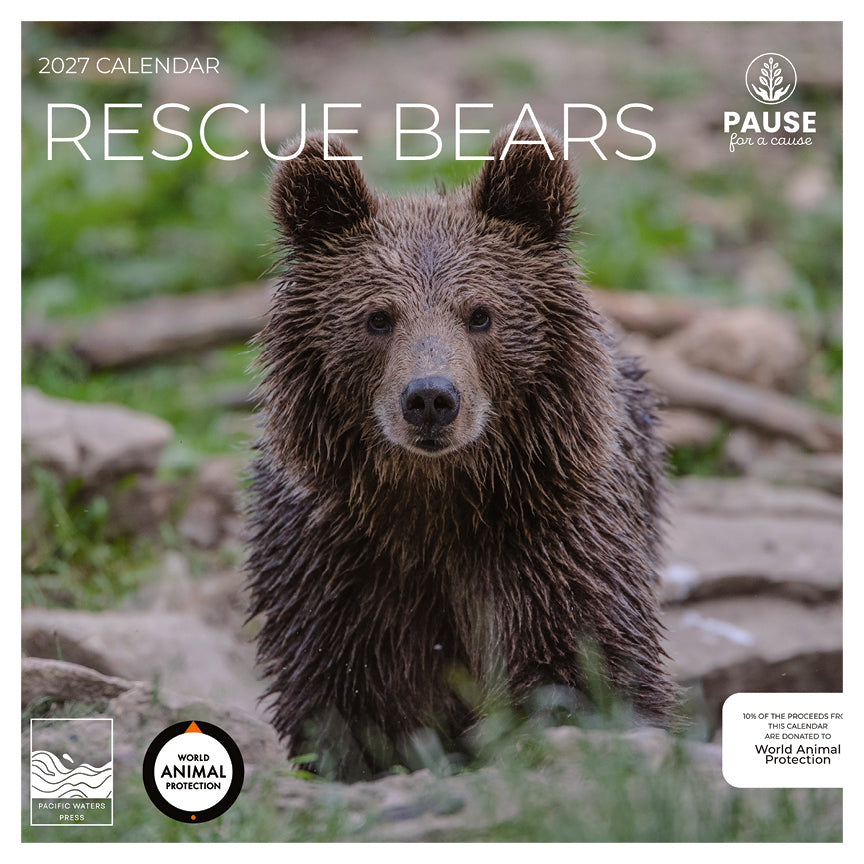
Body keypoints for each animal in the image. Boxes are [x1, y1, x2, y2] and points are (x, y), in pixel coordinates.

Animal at [246, 125, 677, 779]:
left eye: (480, 314)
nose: (430, 398)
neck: (439, 499)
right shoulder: (337, 563)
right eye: (378, 317)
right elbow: (345, 702)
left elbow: (586, 662)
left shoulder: (550, 536)